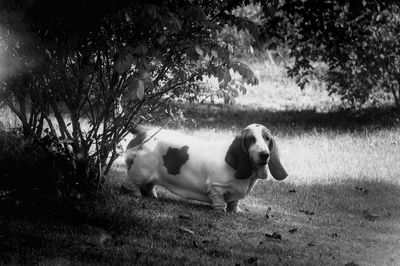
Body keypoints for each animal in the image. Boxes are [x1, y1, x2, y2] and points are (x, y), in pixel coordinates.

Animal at [124, 123, 288, 213]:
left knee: (149, 185)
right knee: (130, 184)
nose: (265, 154)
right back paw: (136, 194)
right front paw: (221, 210)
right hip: (139, 172)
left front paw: (236, 211)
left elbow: (235, 202)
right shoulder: (216, 188)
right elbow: (220, 201)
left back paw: (152, 195)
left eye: (267, 138)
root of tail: (143, 130)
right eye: (251, 139)